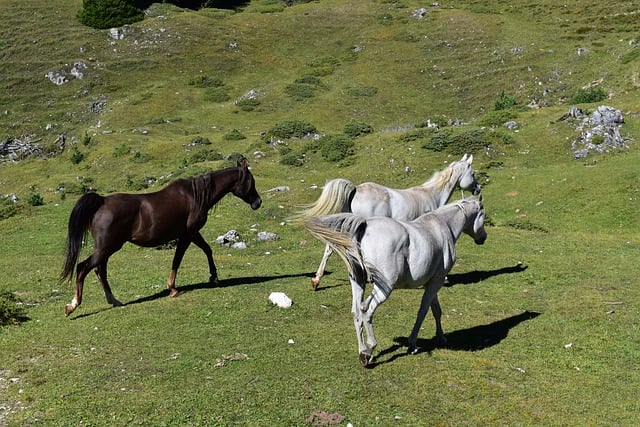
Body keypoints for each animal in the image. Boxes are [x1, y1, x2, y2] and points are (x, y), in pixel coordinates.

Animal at [59, 158, 262, 316]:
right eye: (251, 181)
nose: (258, 202)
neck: (196, 195)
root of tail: (101, 201)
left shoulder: (192, 234)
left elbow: (207, 249)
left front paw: (213, 276)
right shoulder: (188, 234)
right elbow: (178, 260)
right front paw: (173, 288)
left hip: (107, 248)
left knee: (99, 270)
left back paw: (114, 300)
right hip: (106, 247)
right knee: (83, 268)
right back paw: (73, 305)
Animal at [295, 154, 481, 290]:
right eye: (473, 173)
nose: (478, 189)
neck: (431, 195)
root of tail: (356, 189)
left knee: (330, 249)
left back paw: (317, 281)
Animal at [305, 196, 487, 366]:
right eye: (483, 214)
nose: (483, 238)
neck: (443, 226)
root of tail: (365, 226)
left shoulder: (431, 282)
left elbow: (435, 310)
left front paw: (441, 338)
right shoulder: (438, 280)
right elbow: (423, 311)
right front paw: (412, 344)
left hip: (358, 282)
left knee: (356, 312)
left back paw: (362, 350)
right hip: (384, 287)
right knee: (366, 310)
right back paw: (369, 350)